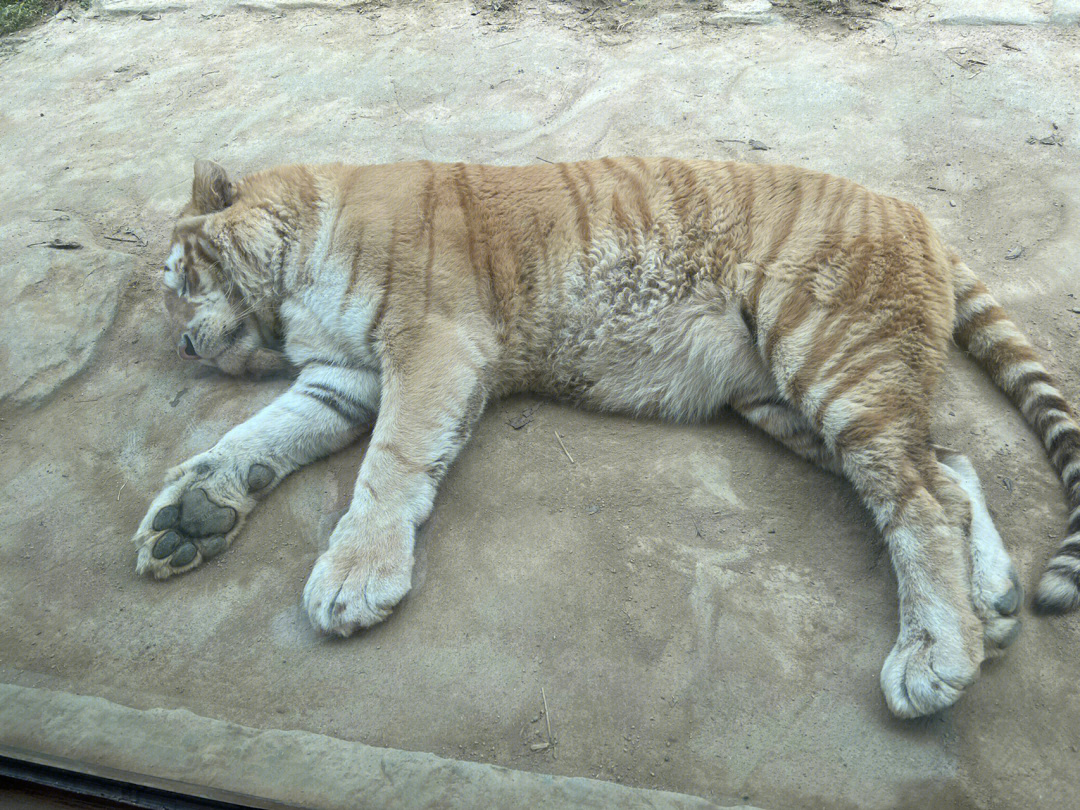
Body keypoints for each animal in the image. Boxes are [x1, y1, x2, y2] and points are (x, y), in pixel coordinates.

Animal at [135, 158, 1080, 717]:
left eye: (183, 278)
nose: (180, 344)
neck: (289, 280)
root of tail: (910, 208)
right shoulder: (344, 376)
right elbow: (257, 435)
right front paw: (189, 516)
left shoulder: (432, 346)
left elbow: (390, 465)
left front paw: (353, 579)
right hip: (791, 402)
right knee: (949, 467)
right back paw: (992, 607)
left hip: (832, 357)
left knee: (919, 499)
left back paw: (935, 652)